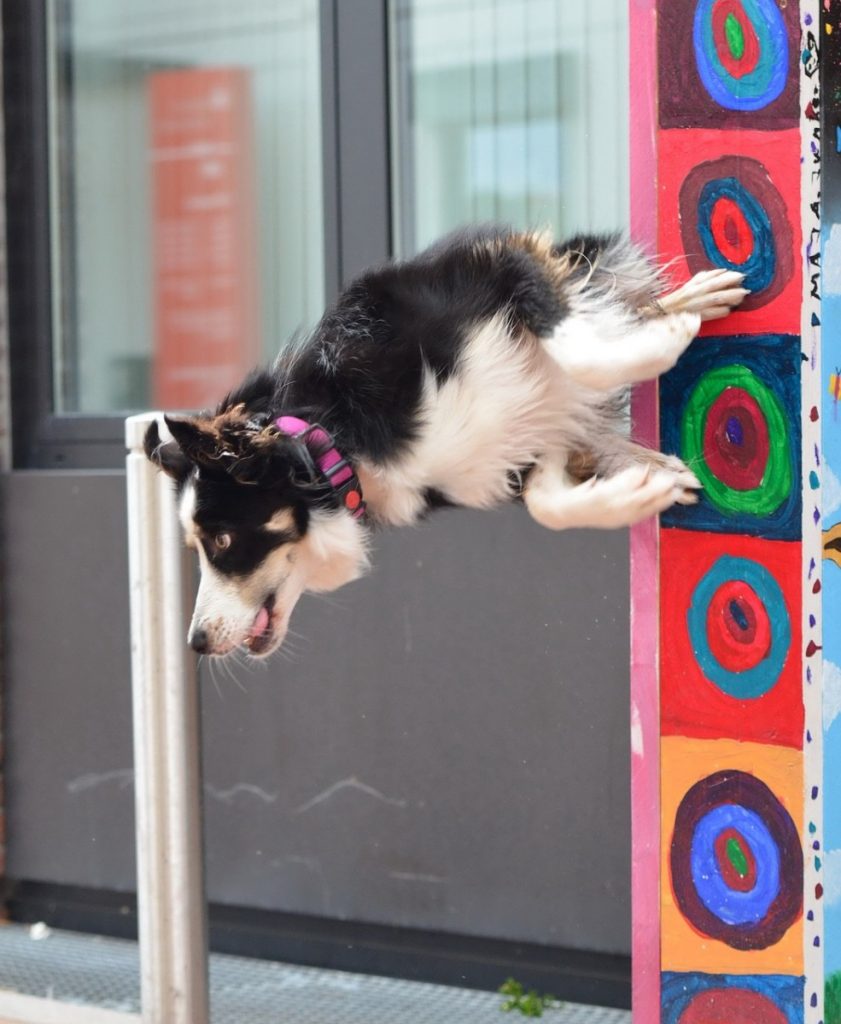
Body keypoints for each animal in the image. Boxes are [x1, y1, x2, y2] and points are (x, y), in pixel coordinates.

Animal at [146, 226, 749, 655]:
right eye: (199, 547)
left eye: (223, 541)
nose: (195, 643)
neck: (338, 441)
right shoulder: (520, 450)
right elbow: (548, 503)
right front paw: (642, 488)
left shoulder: (496, 261)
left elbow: (577, 346)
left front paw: (665, 341)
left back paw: (691, 301)